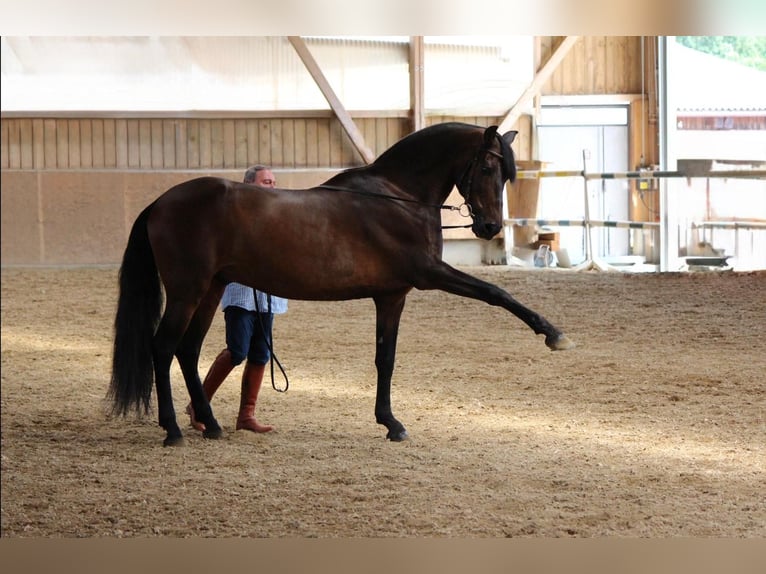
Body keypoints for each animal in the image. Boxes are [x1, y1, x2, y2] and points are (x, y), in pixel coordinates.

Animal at [109, 122, 574, 447]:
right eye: (489, 166)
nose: (490, 227)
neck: (398, 195)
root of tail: (160, 203)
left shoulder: (392, 296)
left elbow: (385, 359)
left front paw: (391, 423)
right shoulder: (429, 274)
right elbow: (497, 293)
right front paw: (553, 333)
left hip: (211, 289)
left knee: (188, 350)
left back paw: (212, 424)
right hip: (188, 291)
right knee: (163, 347)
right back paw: (173, 430)